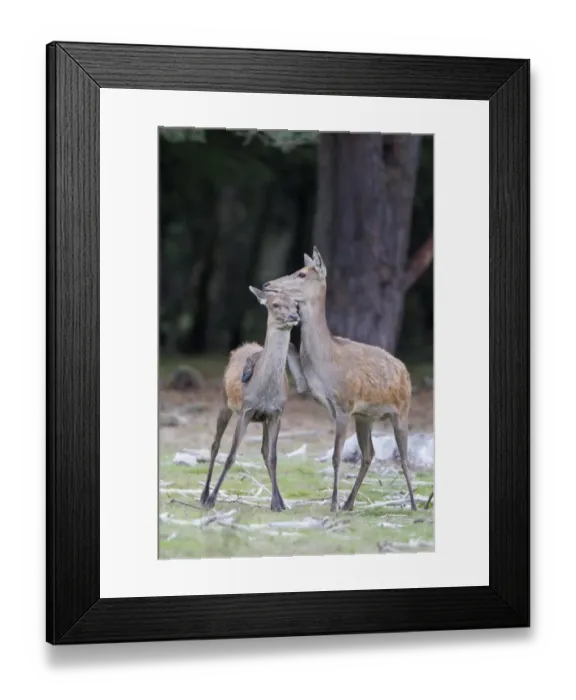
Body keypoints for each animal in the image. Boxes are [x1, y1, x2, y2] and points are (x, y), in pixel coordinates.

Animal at [200, 286, 307, 512]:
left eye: (295, 304)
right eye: (275, 304)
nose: (294, 316)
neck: (264, 391)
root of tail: (243, 345)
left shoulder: (276, 414)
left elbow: (273, 457)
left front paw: (277, 503)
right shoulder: (246, 410)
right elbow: (231, 455)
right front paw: (212, 499)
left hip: (265, 419)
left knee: (264, 450)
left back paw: (280, 500)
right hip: (224, 401)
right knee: (215, 445)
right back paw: (203, 495)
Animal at [261, 247, 417, 513]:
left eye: (302, 273)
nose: (268, 284)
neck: (327, 361)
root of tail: (404, 371)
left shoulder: (344, 405)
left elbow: (336, 456)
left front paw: (332, 503)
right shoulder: (324, 398)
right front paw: (337, 502)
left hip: (402, 410)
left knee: (404, 458)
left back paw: (415, 505)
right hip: (366, 416)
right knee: (369, 453)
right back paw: (349, 503)